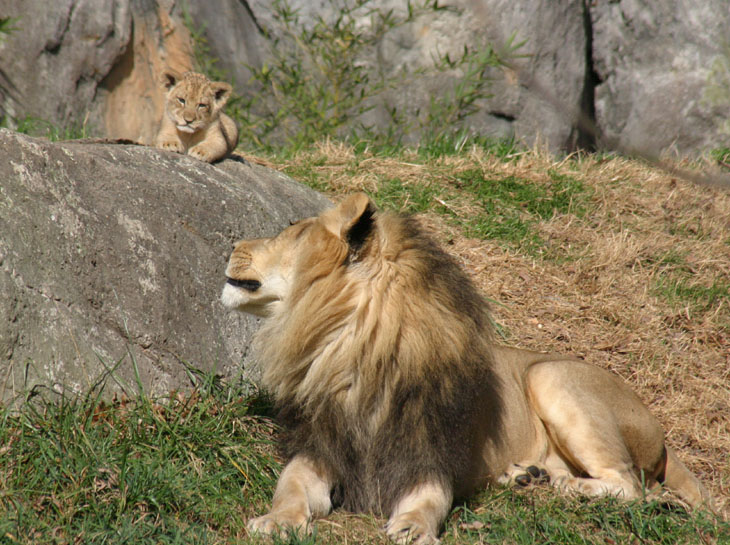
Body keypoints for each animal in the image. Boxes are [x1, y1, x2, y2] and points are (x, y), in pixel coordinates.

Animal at [220, 193, 712, 540]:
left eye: (291, 232)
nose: (231, 243)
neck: (352, 352)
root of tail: (661, 434)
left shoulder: (429, 457)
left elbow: (429, 501)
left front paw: (413, 528)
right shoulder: (318, 448)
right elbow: (289, 487)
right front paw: (276, 521)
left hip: (550, 375)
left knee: (631, 484)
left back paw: (568, 488)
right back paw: (529, 477)